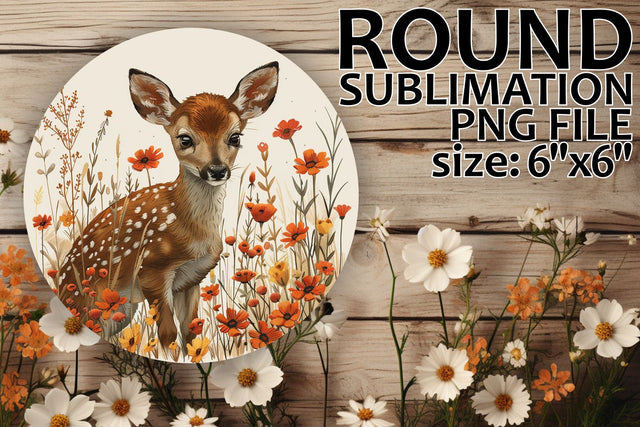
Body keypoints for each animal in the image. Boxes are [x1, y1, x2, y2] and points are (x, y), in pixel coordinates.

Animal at [55, 61, 279, 350]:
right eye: (184, 139)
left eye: (235, 137)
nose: (217, 170)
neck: (188, 226)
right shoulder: (151, 270)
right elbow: (167, 334)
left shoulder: (192, 277)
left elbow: (191, 332)